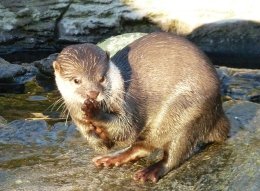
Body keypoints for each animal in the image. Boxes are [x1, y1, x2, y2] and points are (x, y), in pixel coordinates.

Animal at [53, 32, 230, 182]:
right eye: (76, 80)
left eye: (102, 78)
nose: (92, 93)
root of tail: (219, 113)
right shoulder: (78, 119)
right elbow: (100, 144)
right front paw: (100, 137)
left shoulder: (129, 105)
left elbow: (126, 129)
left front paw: (94, 112)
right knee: (143, 146)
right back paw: (112, 158)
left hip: (189, 112)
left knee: (176, 150)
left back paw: (151, 171)